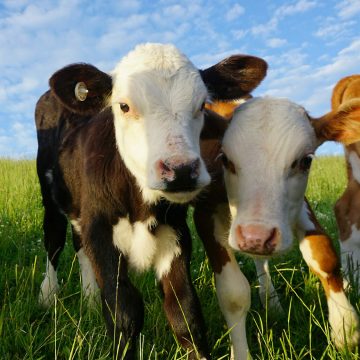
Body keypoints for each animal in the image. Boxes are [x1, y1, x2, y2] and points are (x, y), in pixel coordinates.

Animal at [35, 41, 268, 358]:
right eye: (124, 106)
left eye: (201, 105)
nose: (181, 170)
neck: (140, 207)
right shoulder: (102, 235)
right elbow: (124, 316)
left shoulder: (176, 237)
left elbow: (185, 315)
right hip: (50, 196)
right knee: (54, 240)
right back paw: (48, 295)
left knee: (78, 244)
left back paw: (90, 299)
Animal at [195, 97, 360, 358]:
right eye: (225, 160)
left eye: (306, 161)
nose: (256, 237)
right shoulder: (205, 212)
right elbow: (233, 293)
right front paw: (240, 353)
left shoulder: (298, 205)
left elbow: (323, 256)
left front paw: (345, 327)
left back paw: (271, 302)